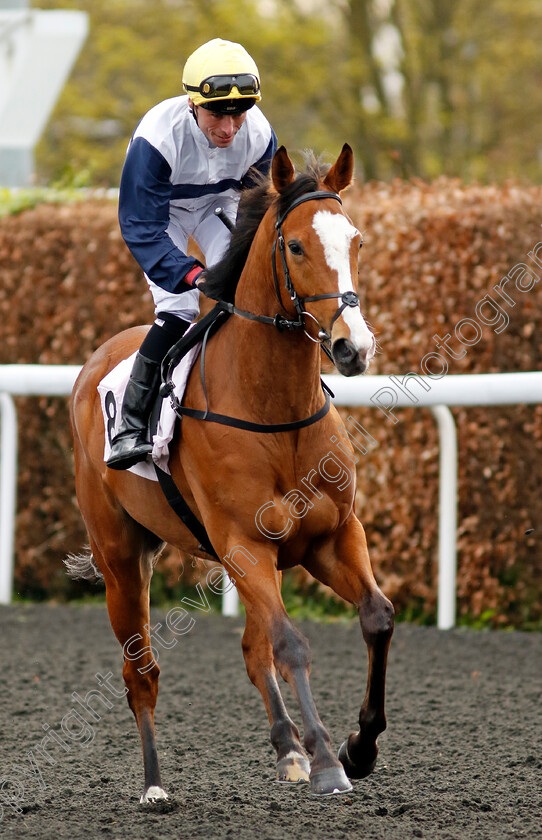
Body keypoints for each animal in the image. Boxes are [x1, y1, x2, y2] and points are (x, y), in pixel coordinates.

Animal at [70, 143, 398, 800]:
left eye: (355, 240)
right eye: (295, 246)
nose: (353, 347)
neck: (276, 415)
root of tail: (93, 364)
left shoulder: (331, 535)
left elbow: (376, 619)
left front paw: (358, 747)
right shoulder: (245, 544)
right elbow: (290, 644)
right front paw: (327, 759)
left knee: (251, 649)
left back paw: (286, 748)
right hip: (121, 558)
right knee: (141, 670)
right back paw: (154, 786)